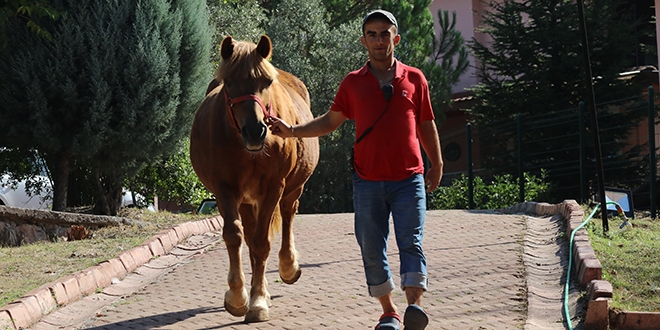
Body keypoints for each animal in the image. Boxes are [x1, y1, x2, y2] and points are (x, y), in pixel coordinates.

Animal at [188, 36, 320, 322]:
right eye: (228, 83)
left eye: (266, 82)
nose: (255, 131)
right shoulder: (225, 189)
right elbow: (234, 236)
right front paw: (238, 297)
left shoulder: (274, 186)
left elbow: (261, 243)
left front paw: (257, 301)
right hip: (248, 201)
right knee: (248, 235)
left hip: (292, 189)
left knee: (288, 214)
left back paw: (288, 266)